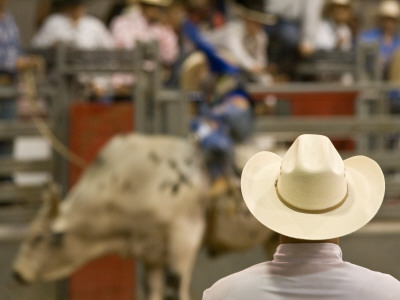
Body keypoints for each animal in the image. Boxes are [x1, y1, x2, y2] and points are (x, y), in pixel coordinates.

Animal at [12, 134, 276, 300]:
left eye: (39, 237)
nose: (17, 273)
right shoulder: (152, 252)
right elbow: (154, 290)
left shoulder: (185, 236)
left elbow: (176, 287)